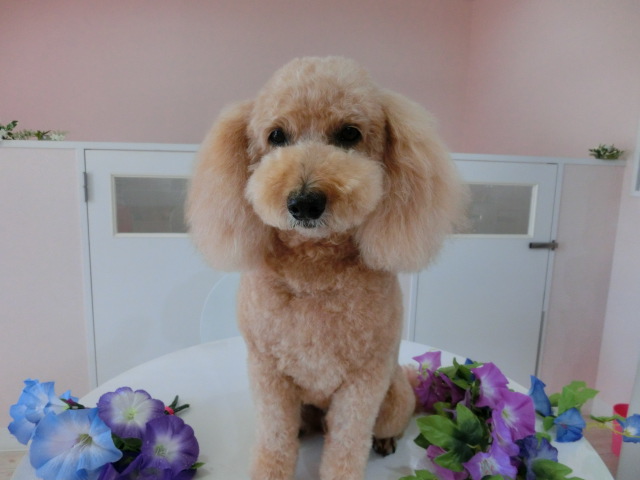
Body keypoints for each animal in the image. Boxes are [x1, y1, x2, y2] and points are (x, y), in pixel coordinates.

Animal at [187, 56, 466, 480]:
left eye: (349, 133)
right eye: (276, 136)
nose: (304, 202)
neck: (313, 267)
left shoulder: (364, 381)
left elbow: (347, 446)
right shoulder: (268, 374)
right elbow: (274, 441)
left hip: (393, 395)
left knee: (387, 423)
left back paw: (386, 440)